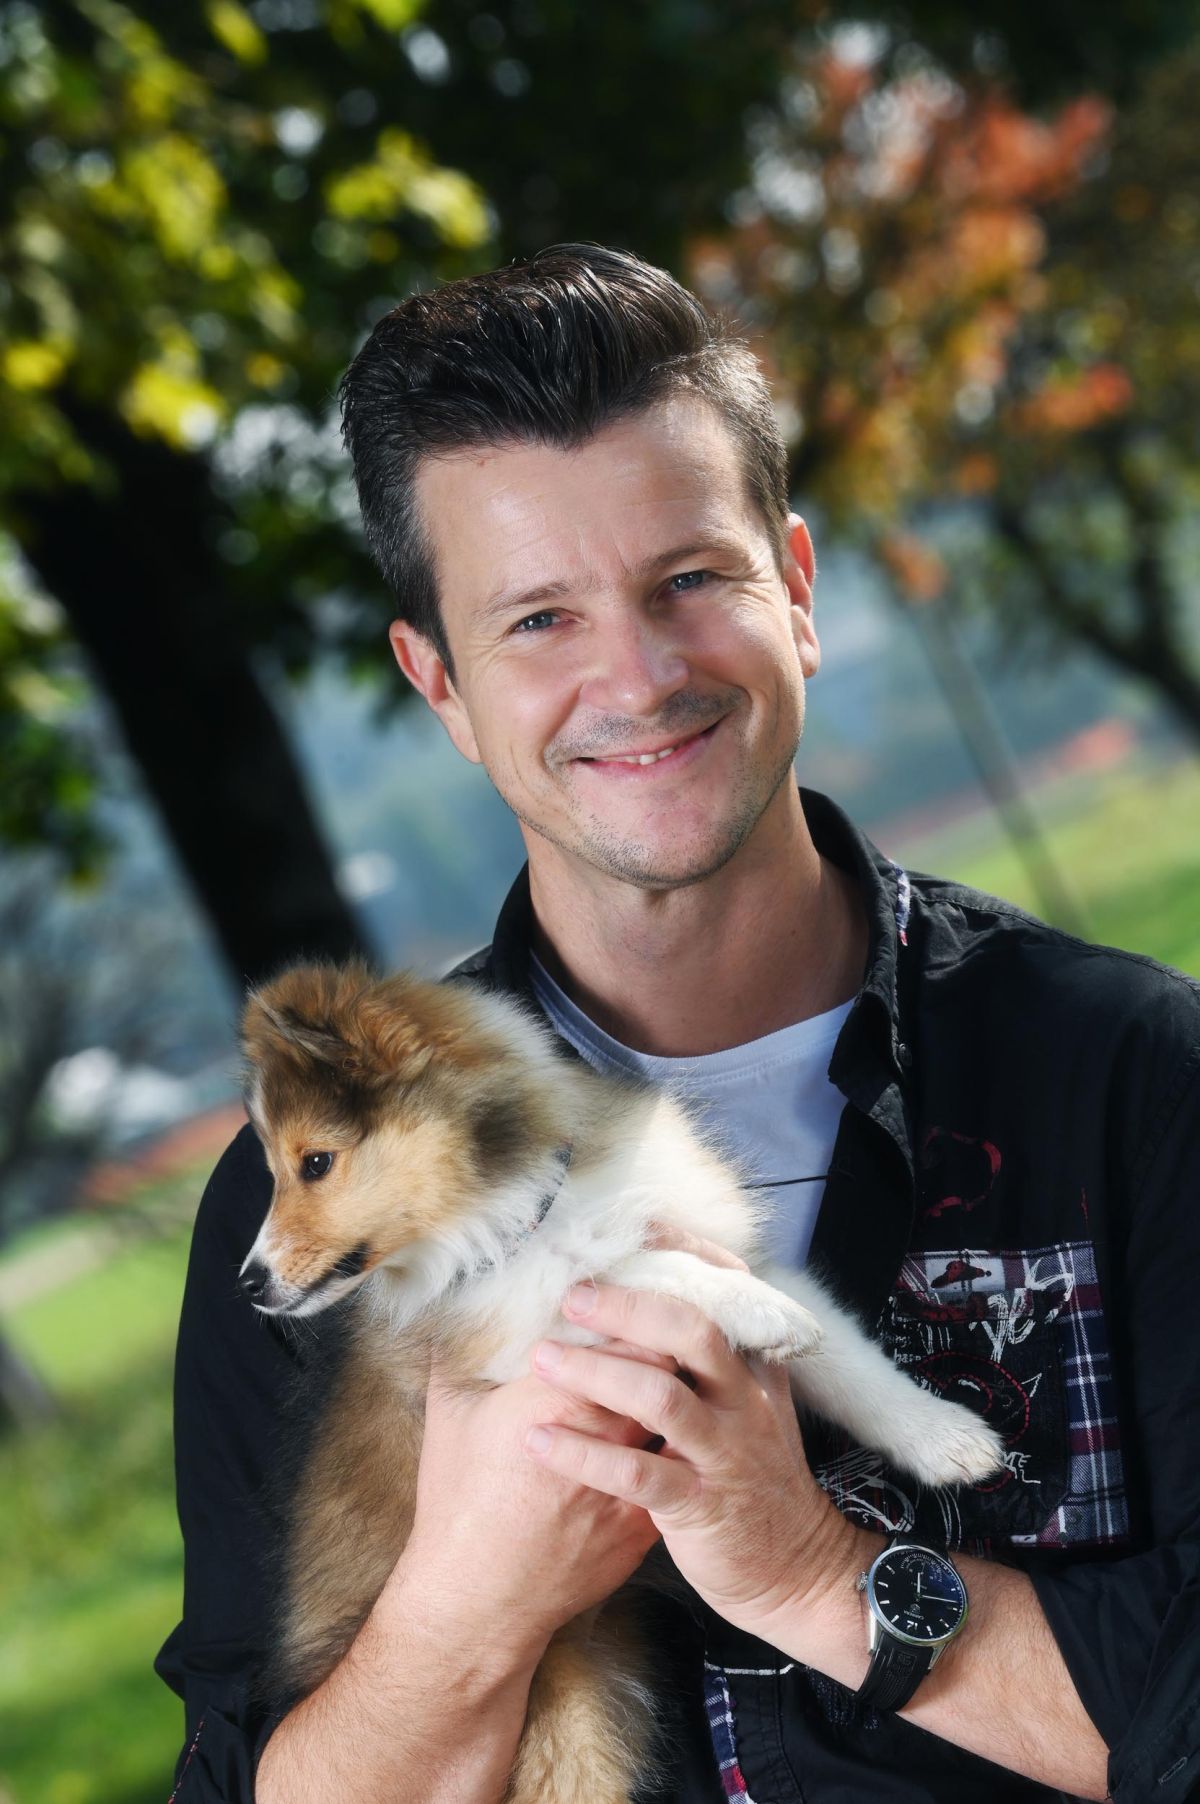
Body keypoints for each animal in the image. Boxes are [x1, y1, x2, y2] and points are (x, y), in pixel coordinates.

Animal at [239, 959, 1002, 1804]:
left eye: (314, 1163)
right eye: (282, 1168)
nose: (248, 1285)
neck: (523, 1216)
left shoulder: (719, 1238)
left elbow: (844, 1358)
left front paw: (946, 1438)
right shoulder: (521, 1348)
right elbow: (621, 1269)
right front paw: (758, 1313)